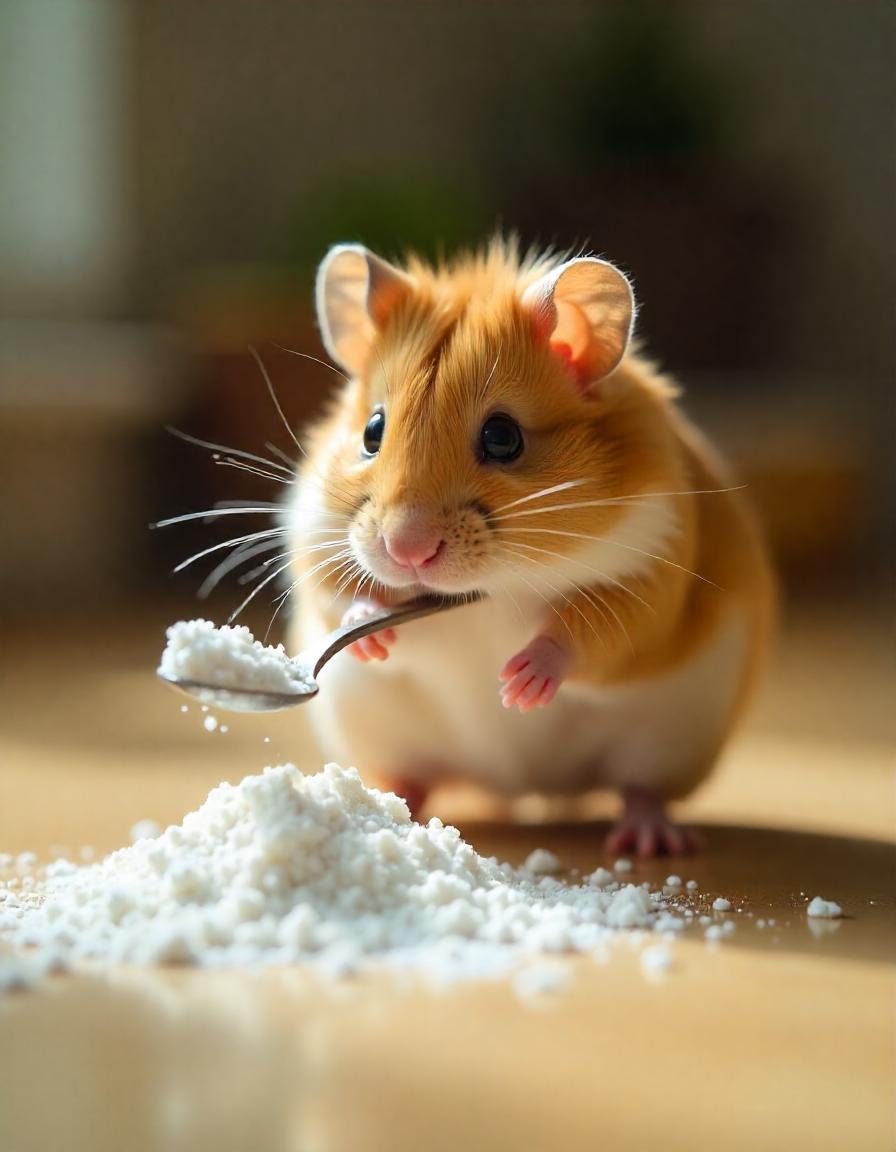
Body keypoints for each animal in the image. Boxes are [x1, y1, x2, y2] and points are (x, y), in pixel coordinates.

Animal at [287, 238, 774, 856]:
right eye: (373, 431)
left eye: (503, 437)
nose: (406, 551)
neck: (492, 585)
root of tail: (524, 790)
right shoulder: (312, 541)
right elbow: (338, 597)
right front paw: (372, 637)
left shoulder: (652, 571)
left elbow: (594, 630)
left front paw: (519, 685)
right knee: (412, 779)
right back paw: (391, 804)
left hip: (667, 743)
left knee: (640, 789)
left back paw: (650, 840)